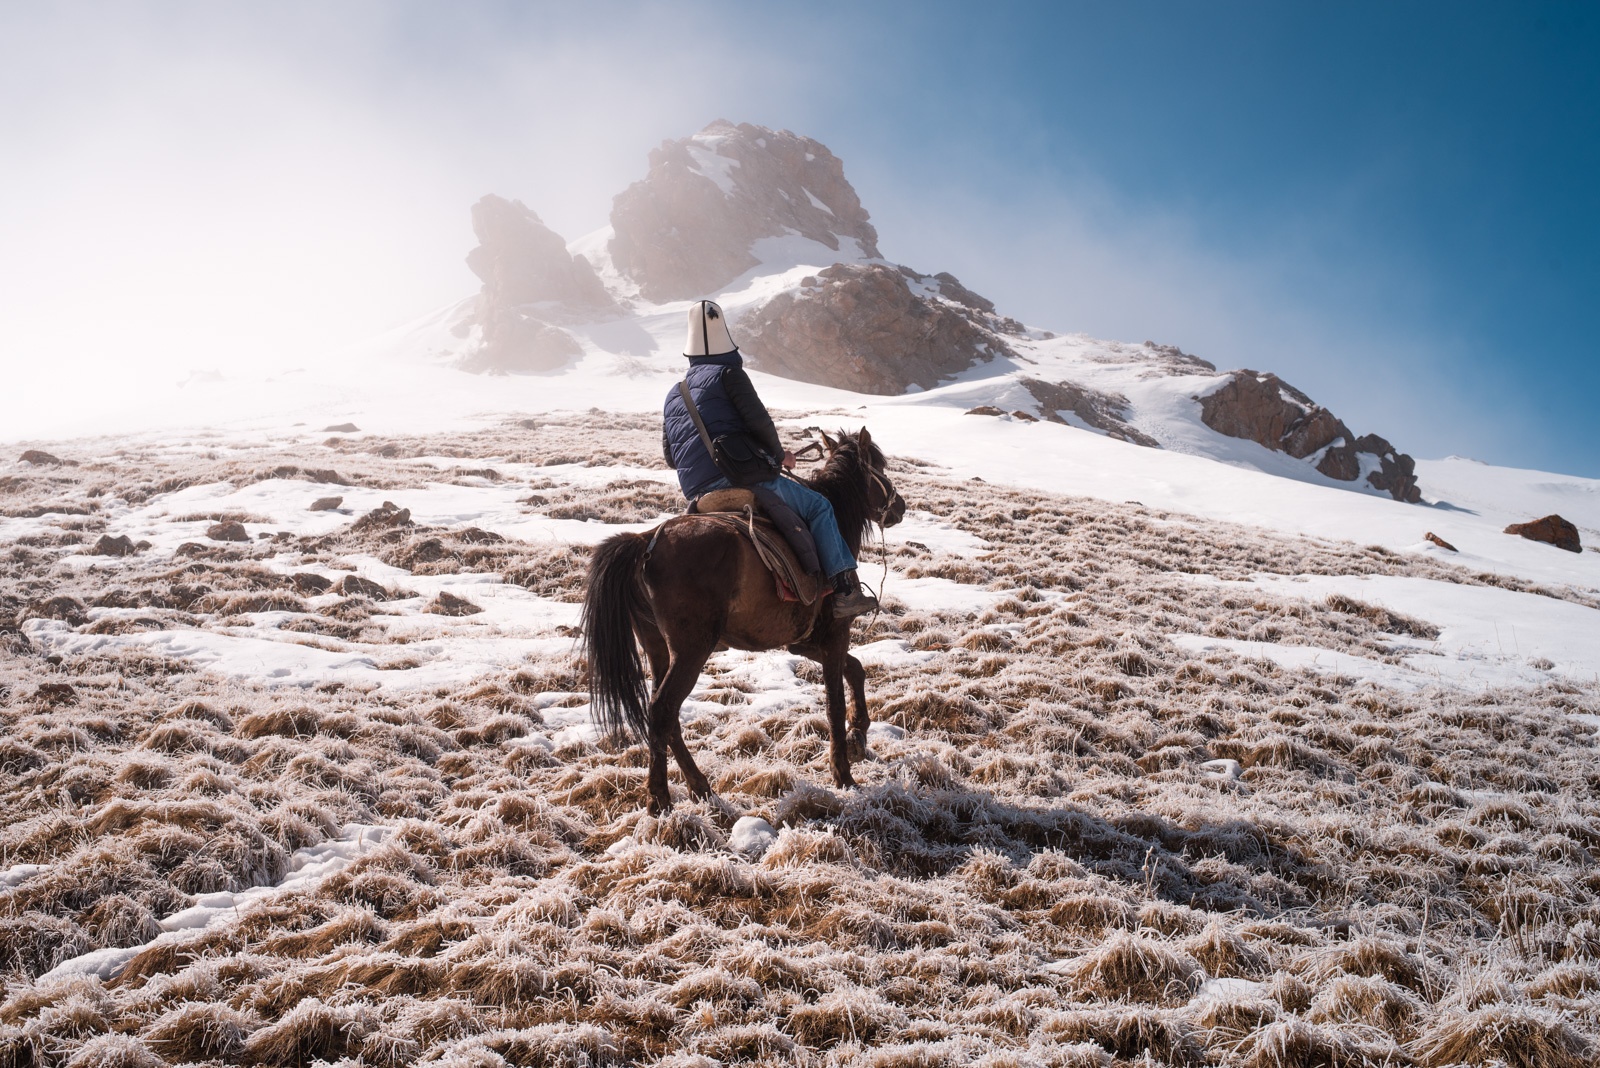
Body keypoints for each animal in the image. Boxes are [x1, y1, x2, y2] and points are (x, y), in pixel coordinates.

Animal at [582, 428, 908, 812]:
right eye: (879, 467)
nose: (900, 506)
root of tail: (646, 542)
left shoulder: (803, 642)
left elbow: (855, 669)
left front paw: (859, 735)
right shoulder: (834, 635)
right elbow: (834, 704)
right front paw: (843, 774)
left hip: (657, 646)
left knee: (664, 714)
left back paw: (700, 787)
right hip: (691, 650)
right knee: (662, 710)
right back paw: (660, 798)